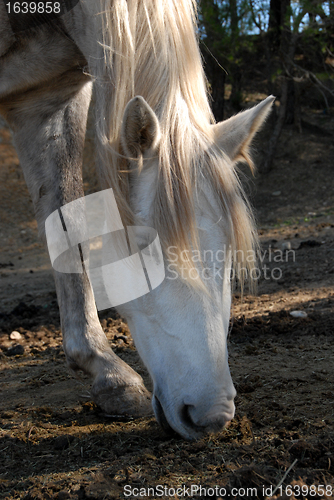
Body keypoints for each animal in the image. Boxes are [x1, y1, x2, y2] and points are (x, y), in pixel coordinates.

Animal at [0, 0, 272, 438]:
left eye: (230, 248)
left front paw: (108, 375)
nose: (211, 414)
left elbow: (66, 223)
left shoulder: (45, 101)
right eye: (145, 248)